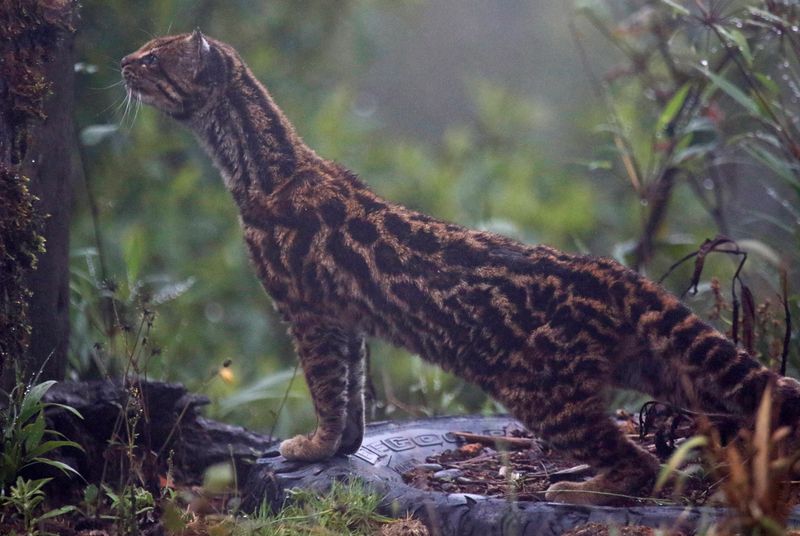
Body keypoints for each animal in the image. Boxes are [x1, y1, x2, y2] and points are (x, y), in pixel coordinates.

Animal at [122, 31, 800, 504]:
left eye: (155, 59)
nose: (124, 63)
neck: (261, 166)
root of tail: (618, 277)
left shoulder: (305, 310)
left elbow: (326, 388)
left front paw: (312, 446)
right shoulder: (346, 318)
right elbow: (353, 389)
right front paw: (342, 446)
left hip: (543, 392)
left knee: (639, 462)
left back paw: (582, 489)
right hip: (664, 370)